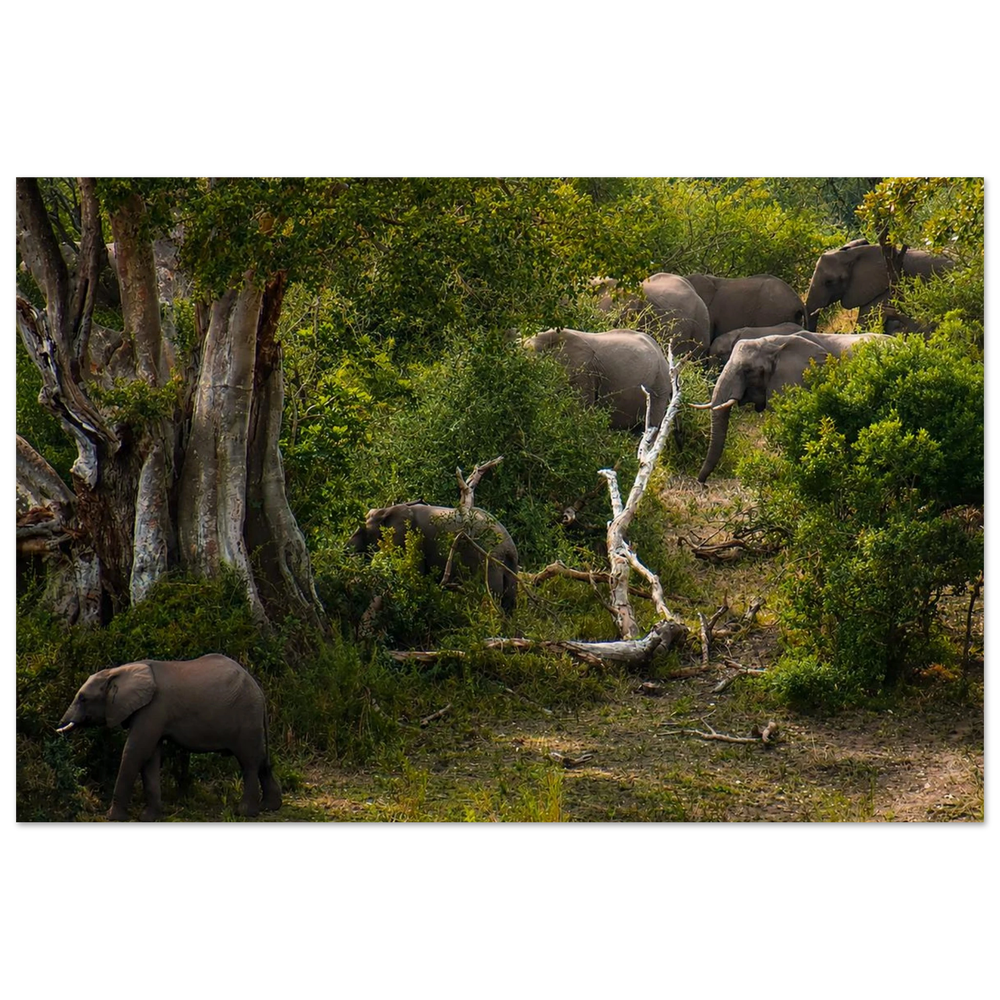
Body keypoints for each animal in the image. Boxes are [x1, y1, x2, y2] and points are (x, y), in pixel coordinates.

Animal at [56, 654, 282, 822]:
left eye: (83, 699)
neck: (118, 671)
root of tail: (258, 689)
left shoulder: (153, 708)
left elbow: (136, 751)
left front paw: (113, 818)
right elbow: (151, 757)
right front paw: (149, 818)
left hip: (246, 715)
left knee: (249, 762)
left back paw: (245, 812)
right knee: (262, 760)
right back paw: (270, 807)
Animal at [348, 502, 520, 613]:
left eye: (364, 532)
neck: (388, 509)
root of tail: (509, 547)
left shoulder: (415, 540)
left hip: (489, 560)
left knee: (491, 597)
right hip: (509, 565)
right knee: (508, 600)